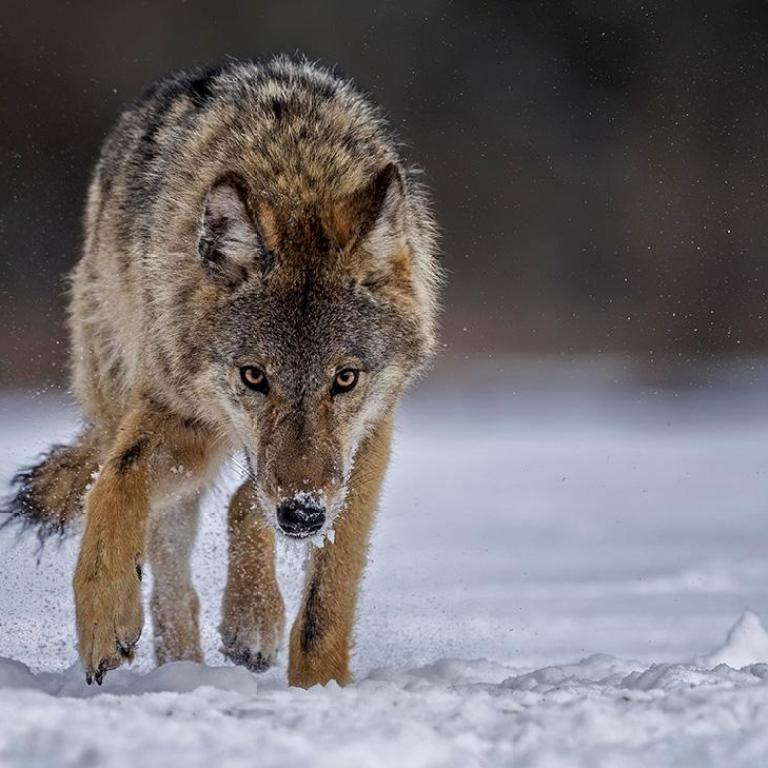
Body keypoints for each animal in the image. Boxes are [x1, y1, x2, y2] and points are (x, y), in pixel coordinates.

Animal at [3, 57, 440, 688]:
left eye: (346, 379)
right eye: (254, 376)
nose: (302, 514)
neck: (296, 170)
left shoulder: (366, 441)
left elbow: (327, 595)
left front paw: (319, 686)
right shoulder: (173, 415)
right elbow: (115, 483)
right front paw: (105, 616)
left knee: (242, 500)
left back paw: (248, 624)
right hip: (168, 426)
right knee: (170, 567)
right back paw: (183, 668)